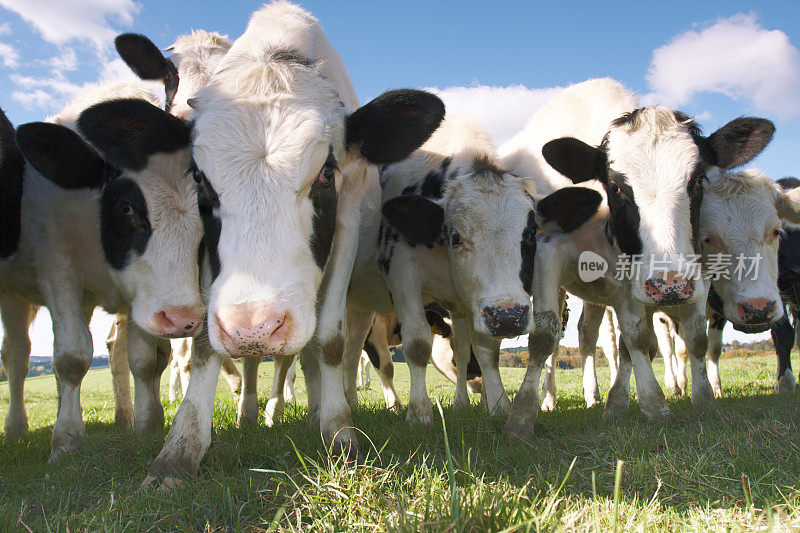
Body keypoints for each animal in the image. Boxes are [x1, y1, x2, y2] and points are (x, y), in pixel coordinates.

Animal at [3, 81, 203, 460]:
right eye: (126, 208)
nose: (183, 318)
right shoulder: (57, 267)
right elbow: (71, 354)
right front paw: (66, 439)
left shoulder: (143, 296)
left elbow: (143, 359)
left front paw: (146, 424)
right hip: (14, 295)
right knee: (17, 356)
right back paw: (15, 430)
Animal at [141, 2, 446, 486]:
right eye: (200, 177)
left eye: (326, 172)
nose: (254, 328)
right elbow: (206, 345)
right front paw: (180, 448)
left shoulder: (347, 222)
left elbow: (330, 342)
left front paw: (339, 433)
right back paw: (255, 412)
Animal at [342, 114, 600, 426]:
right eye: (455, 235)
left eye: (531, 233)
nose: (509, 316)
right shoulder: (402, 273)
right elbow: (417, 343)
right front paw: (419, 412)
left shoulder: (466, 302)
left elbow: (478, 349)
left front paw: (493, 405)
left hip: (361, 307)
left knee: (351, 350)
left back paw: (350, 403)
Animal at [500, 78, 776, 436]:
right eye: (617, 187)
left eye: (698, 180)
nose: (672, 286)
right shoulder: (548, 251)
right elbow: (545, 335)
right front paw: (521, 416)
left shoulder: (642, 278)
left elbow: (644, 338)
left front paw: (658, 402)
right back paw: (551, 400)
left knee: (592, 335)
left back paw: (599, 397)